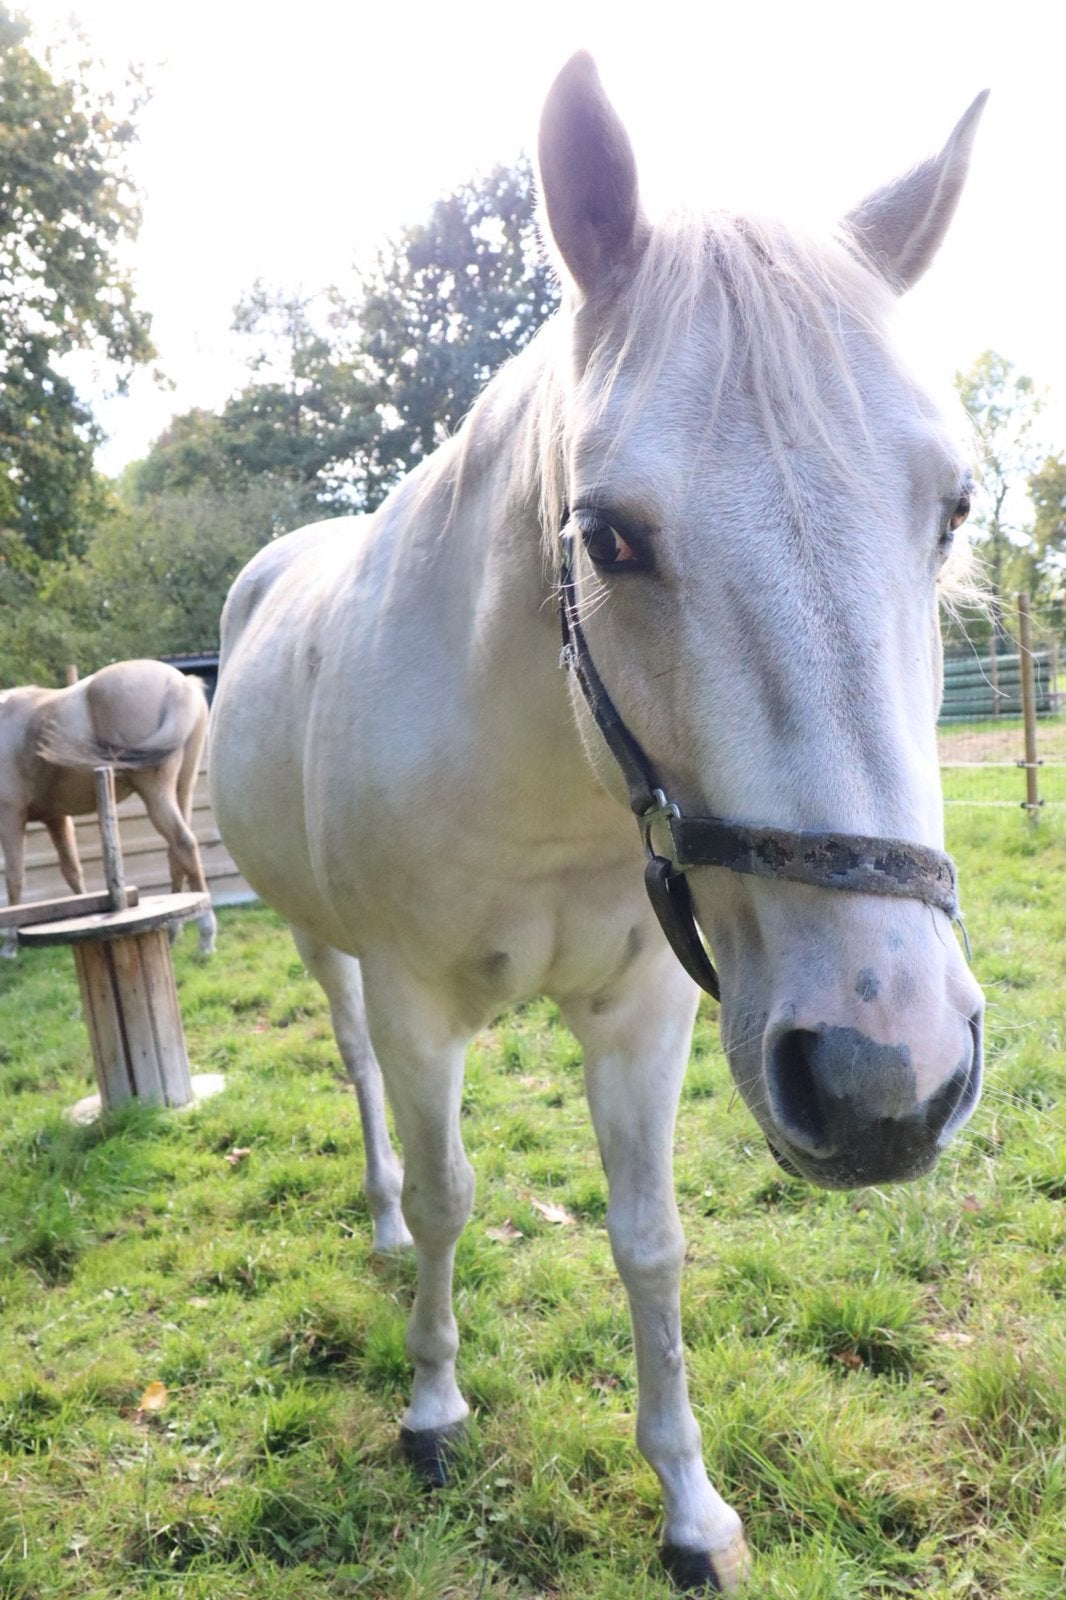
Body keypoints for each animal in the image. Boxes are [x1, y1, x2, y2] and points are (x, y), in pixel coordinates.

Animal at [0, 659, 218, 957]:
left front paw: (10, 944)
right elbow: (71, 871)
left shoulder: (10, 815)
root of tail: (179, 685)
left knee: (183, 844)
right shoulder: (56, 818)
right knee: (177, 854)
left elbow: (14, 878)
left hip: (155, 791)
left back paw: (206, 937)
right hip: (182, 789)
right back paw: (174, 930)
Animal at [209, 54, 986, 1593]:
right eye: (609, 536)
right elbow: (450, 1198)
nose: (888, 1081)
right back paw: (377, 1223)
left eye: (952, 510)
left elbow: (650, 1243)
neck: (547, 784)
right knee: (362, 1089)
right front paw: (433, 1403)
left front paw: (689, 1506)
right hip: (322, 950)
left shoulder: (647, 1015)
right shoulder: (421, 1006)